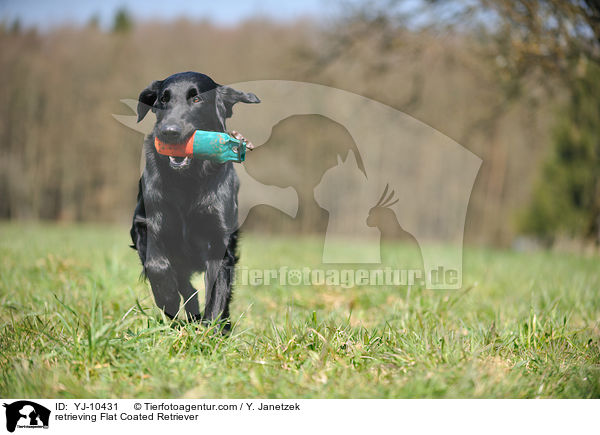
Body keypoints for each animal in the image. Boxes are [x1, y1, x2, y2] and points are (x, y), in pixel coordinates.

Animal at [130, 72, 258, 330]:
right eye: (162, 99)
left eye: (197, 99)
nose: (169, 131)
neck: (187, 180)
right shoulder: (143, 222)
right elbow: (156, 264)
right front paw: (167, 297)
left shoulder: (219, 240)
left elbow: (217, 294)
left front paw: (212, 331)